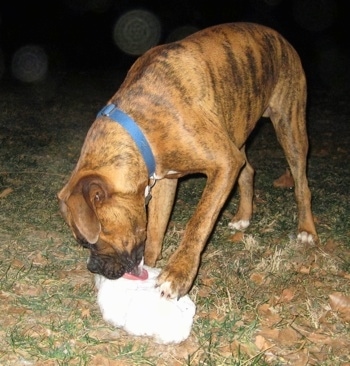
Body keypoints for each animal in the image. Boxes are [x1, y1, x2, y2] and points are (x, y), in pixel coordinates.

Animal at [57, 21, 318, 298]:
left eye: (86, 242)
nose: (92, 267)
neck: (139, 126)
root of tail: (277, 35)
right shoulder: (165, 179)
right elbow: (156, 227)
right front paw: (152, 261)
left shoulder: (224, 163)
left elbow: (199, 222)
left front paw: (177, 274)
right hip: (237, 126)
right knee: (248, 171)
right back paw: (244, 217)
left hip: (290, 126)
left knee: (301, 184)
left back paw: (306, 230)